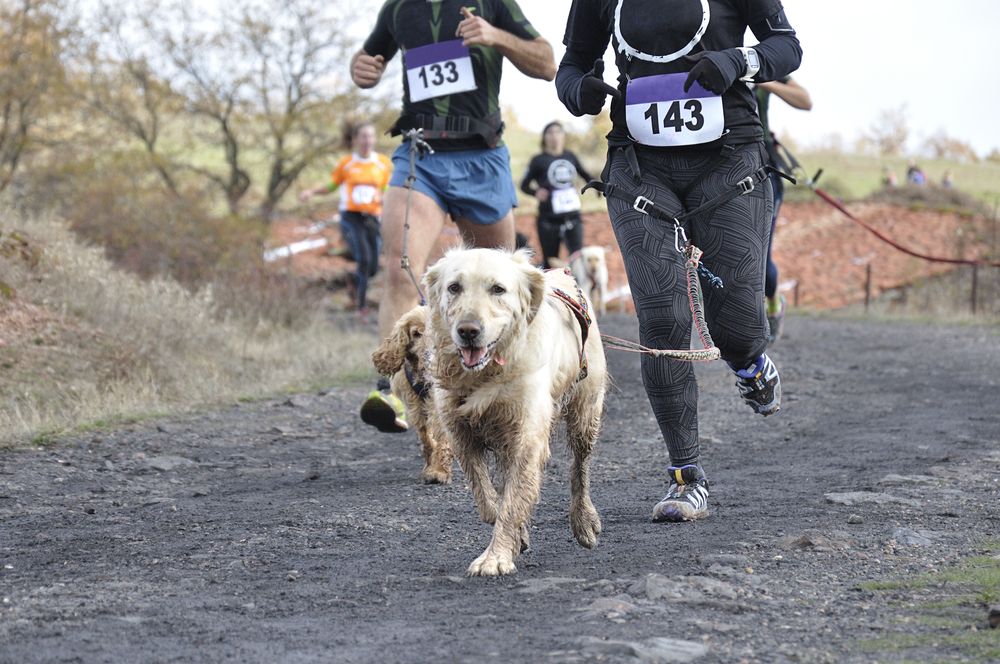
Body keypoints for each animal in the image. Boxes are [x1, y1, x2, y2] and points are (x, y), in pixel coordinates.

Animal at [374, 308, 456, 486]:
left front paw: (439, 471)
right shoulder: (416, 407)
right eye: (417, 333)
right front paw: (430, 466)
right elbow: (426, 437)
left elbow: (443, 438)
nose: (428, 355)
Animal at [424, 248, 608, 576]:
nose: (468, 331)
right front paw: (516, 538)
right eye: (454, 287)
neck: (488, 372)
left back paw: (584, 521)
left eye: (498, 289)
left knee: (580, 469)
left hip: (585, 412)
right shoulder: (460, 433)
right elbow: (489, 499)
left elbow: (511, 502)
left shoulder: (528, 435)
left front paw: (494, 557)